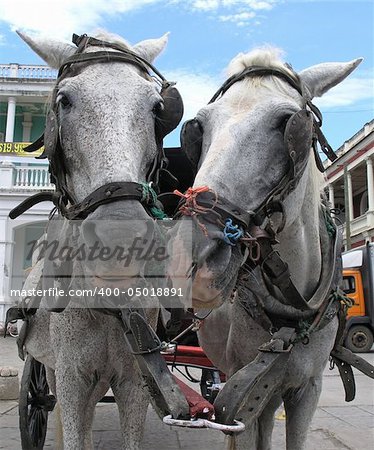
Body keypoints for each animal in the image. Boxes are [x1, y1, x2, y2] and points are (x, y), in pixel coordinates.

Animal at [14, 30, 178, 450]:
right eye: (64, 101)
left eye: (158, 107)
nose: (119, 237)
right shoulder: (72, 378)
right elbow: (73, 429)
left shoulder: (136, 379)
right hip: (52, 371)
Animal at [170, 47, 362, 448]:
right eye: (198, 128)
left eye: (289, 123)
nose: (190, 259)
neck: (289, 314)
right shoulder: (237, 396)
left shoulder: (308, 388)